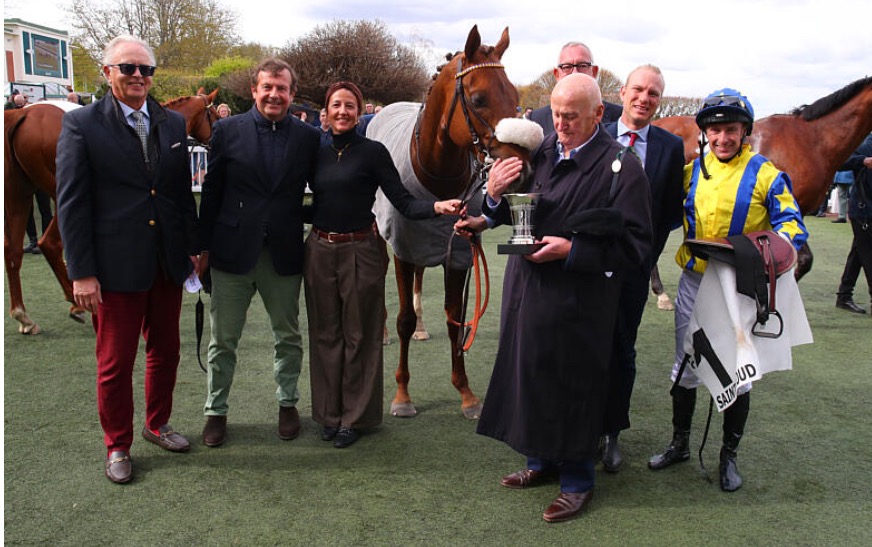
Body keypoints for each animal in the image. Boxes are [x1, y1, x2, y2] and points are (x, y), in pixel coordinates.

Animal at [4, 88, 219, 334]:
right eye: (213, 115)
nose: (215, 136)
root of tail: (22, 114)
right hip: (64, 194)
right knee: (49, 243)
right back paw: (78, 303)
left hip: (18, 192)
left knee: (12, 251)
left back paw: (24, 315)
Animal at [367, 26, 534, 419]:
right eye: (478, 98)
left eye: (515, 97)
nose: (521, 172)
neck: (435, 174)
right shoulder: (403, 249)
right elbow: (402, 318)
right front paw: (402, 394)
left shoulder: (458, 250)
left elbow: (455, 316)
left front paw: (466, 393)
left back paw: (422, 327)